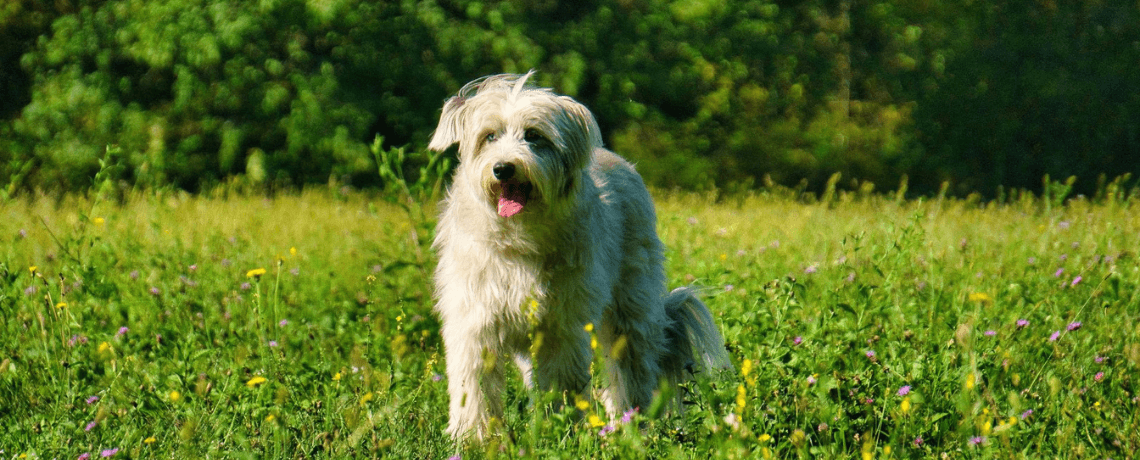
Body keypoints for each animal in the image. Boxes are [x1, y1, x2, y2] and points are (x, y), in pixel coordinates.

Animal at [428, 72, 729, 441]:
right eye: (490, 136)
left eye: (533, 135)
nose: (503, 169)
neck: (519, 236)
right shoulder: (475, 324)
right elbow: (474, 388)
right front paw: (473, 439)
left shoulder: (562, 327)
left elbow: (562, 381)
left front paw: (562, 432)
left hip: (631, 310)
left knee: (634, 368)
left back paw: (635, 425)